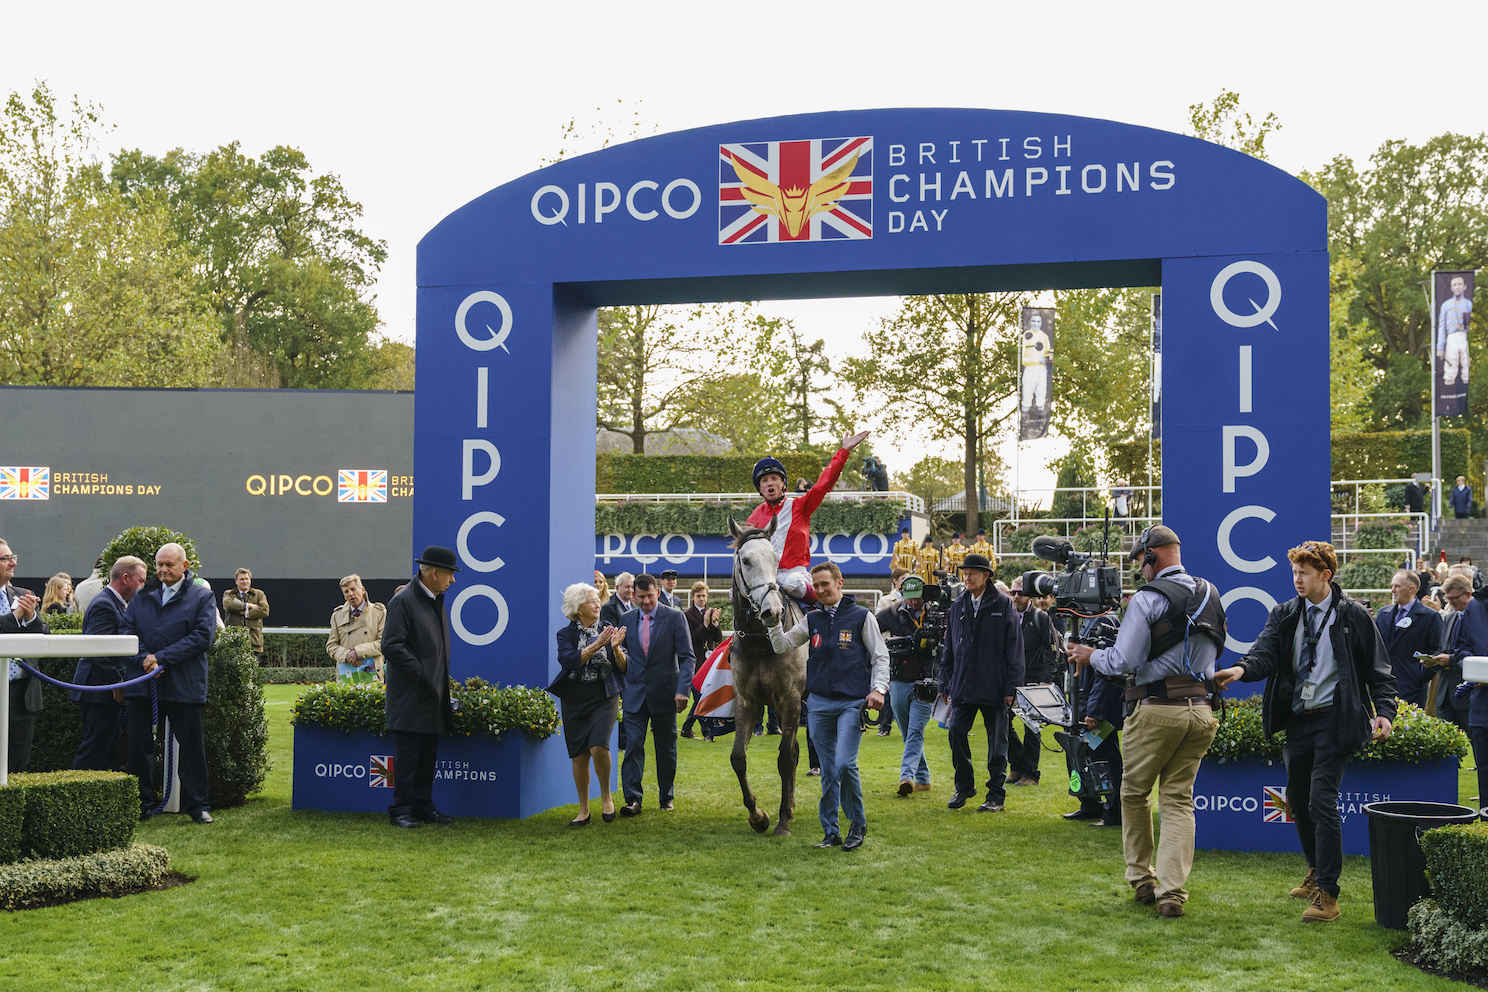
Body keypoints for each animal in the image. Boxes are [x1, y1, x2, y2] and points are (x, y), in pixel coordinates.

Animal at [726, 520, 809, 838]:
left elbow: (785, 758)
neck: (761, 642)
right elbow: (738, 757)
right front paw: (758, 816)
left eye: (776, 558)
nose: (772, 611)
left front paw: (782, 820)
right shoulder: (747, 702)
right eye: (746, 560)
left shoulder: (790, 700)